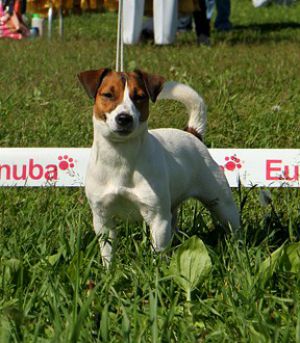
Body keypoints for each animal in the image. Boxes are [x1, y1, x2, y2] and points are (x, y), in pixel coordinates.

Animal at [78, 68, 240, 268]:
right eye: (108, 94)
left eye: (139, 96)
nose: (124, 118)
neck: (121, 158)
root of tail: (192, 133)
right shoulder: (102, 218)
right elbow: (107, 252)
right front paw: (108, 271)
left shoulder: (158, 218)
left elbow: (159, 253)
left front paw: (157, 272)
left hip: (220, 202)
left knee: (233, 226)